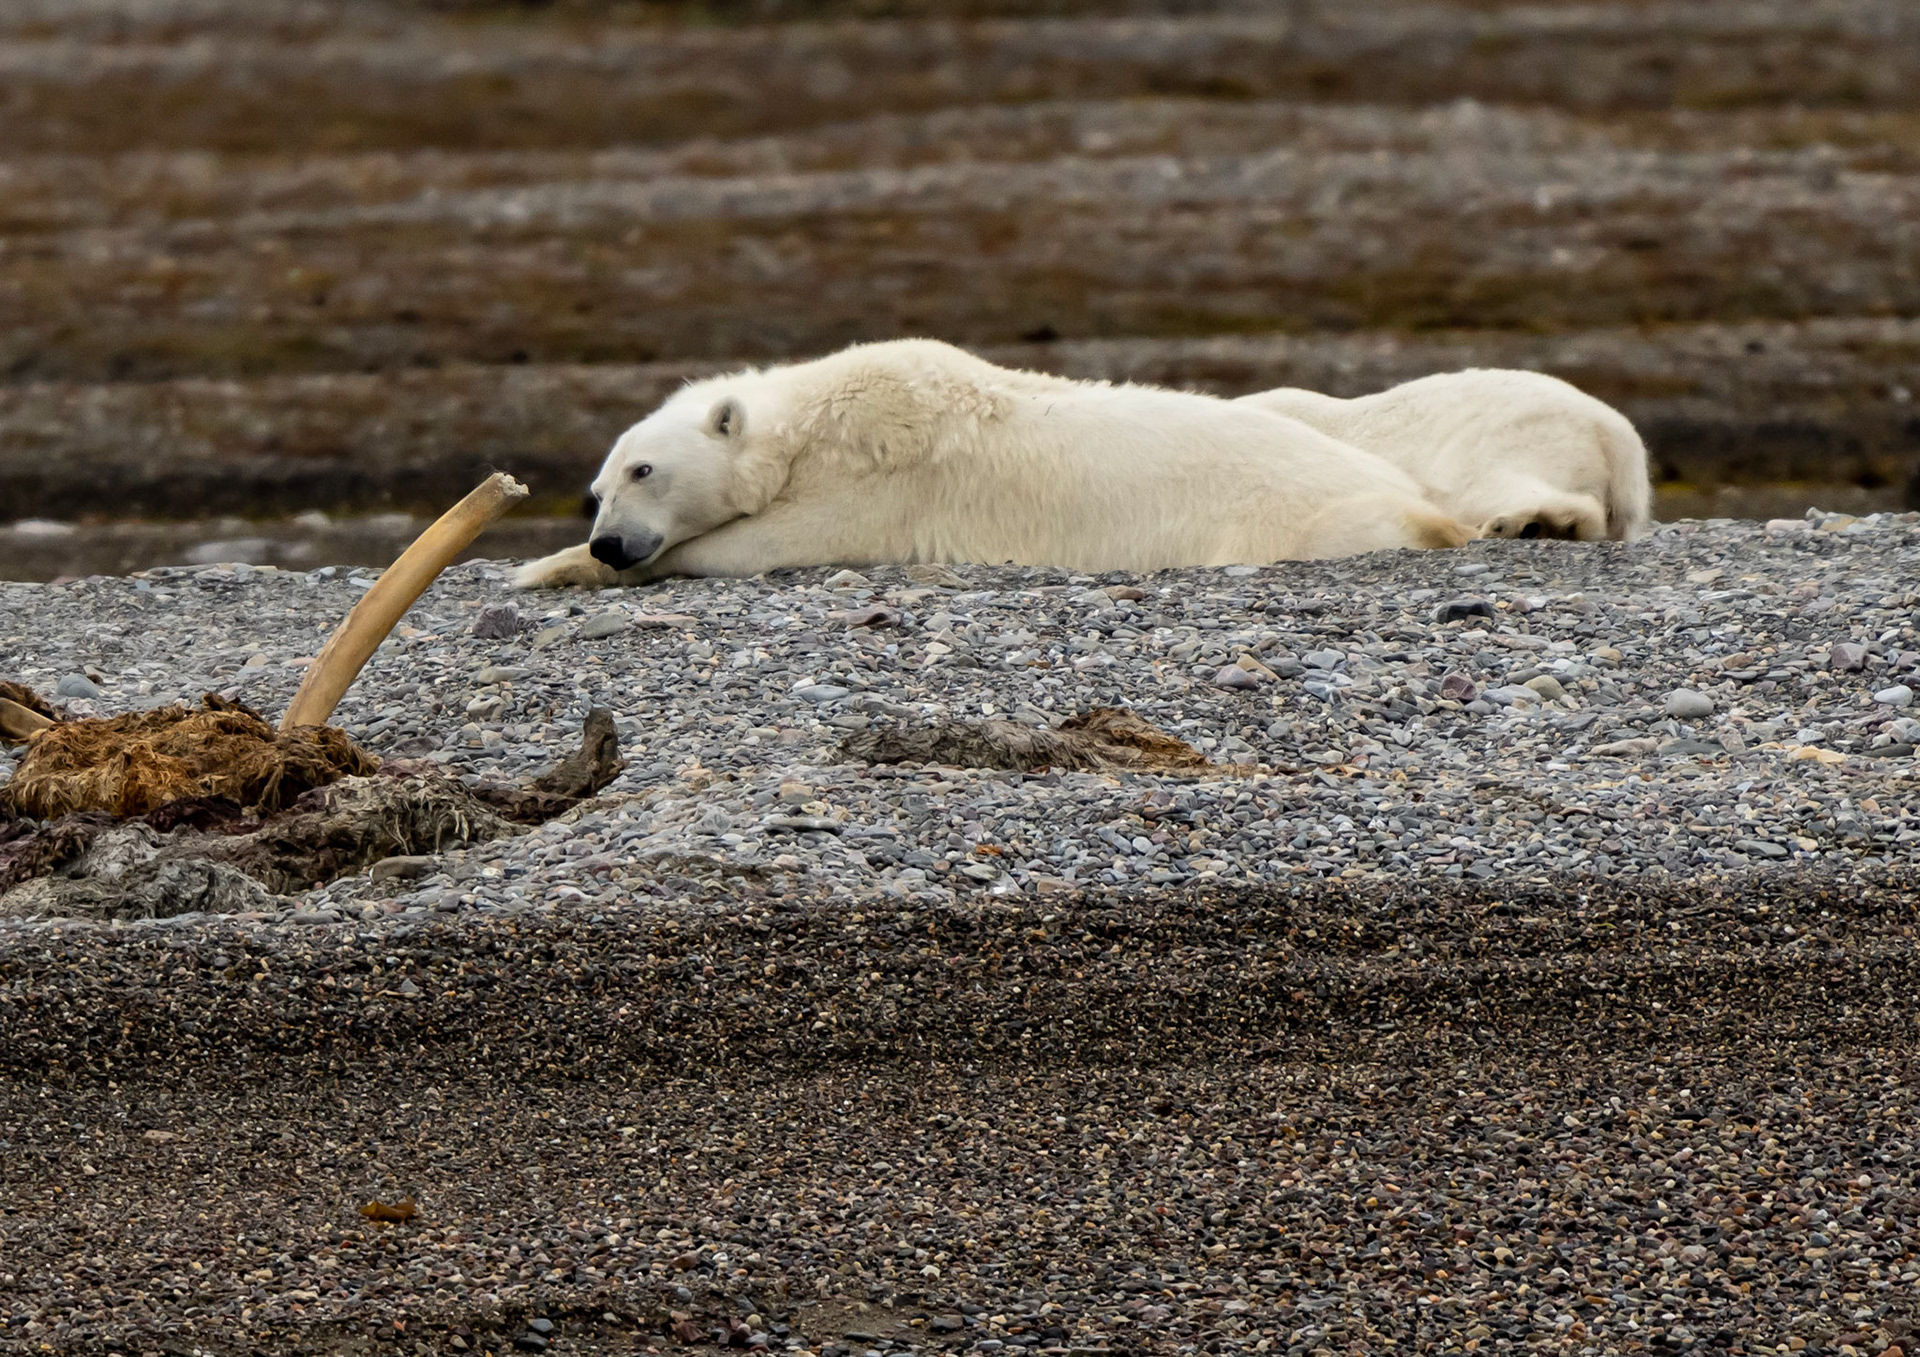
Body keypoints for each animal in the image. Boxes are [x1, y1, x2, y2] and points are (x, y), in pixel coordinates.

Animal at [514, 339, 1471, 589]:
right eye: (594, 489)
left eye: (644, 472)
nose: (607, 543)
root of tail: (1426, 504)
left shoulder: (881, 482)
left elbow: (758, 543)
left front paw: (542, 569)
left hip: (1291, 515)